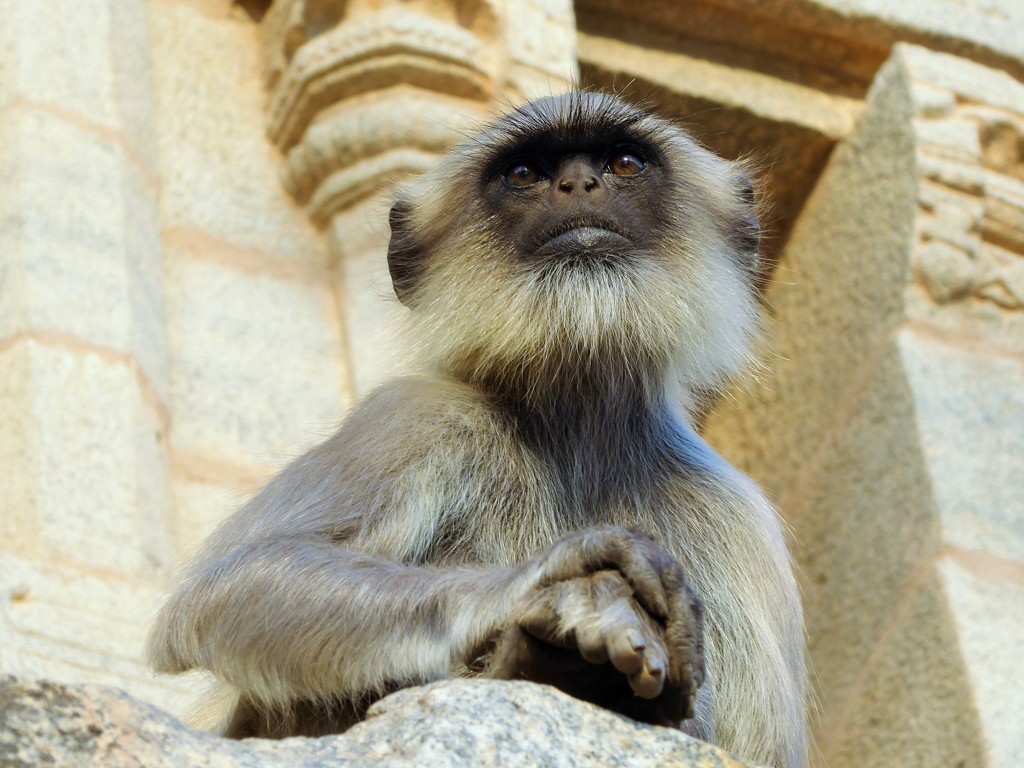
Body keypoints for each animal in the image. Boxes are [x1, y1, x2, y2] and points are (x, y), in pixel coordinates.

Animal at [149, 91, 806, 768]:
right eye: (523, 173)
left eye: (625, 163)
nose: (579, 184)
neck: (577, 427)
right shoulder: (415, 413)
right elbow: (228, 585)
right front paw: (552, 587)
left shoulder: (733, 513)